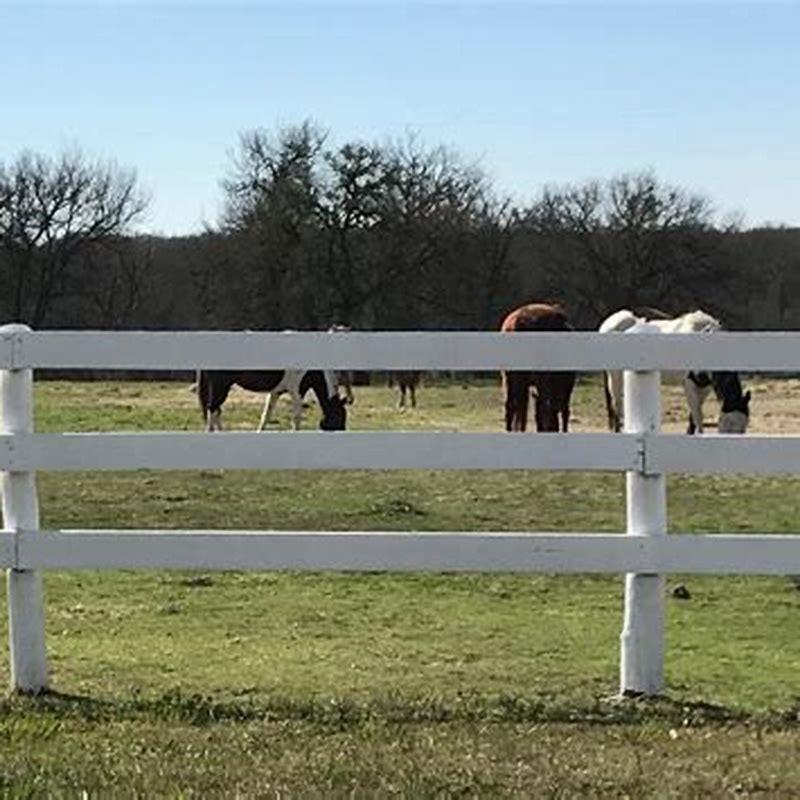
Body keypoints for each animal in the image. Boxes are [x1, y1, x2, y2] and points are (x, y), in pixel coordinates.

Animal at [197, 369, 347, 432]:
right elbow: (296, 418)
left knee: (216, 410)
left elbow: (266, 415)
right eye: (340, 416)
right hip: (220, 386)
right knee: (212, 409)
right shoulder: (297, 393)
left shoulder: (275, 392)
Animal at [599, 308, 751, 434]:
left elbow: (693, 417)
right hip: (615, 377)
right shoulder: (689, 384)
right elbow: (698, 417)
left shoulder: (705, 386)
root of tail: (606, 324)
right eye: (727, 425)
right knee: (617, 406)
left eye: (743, 428)